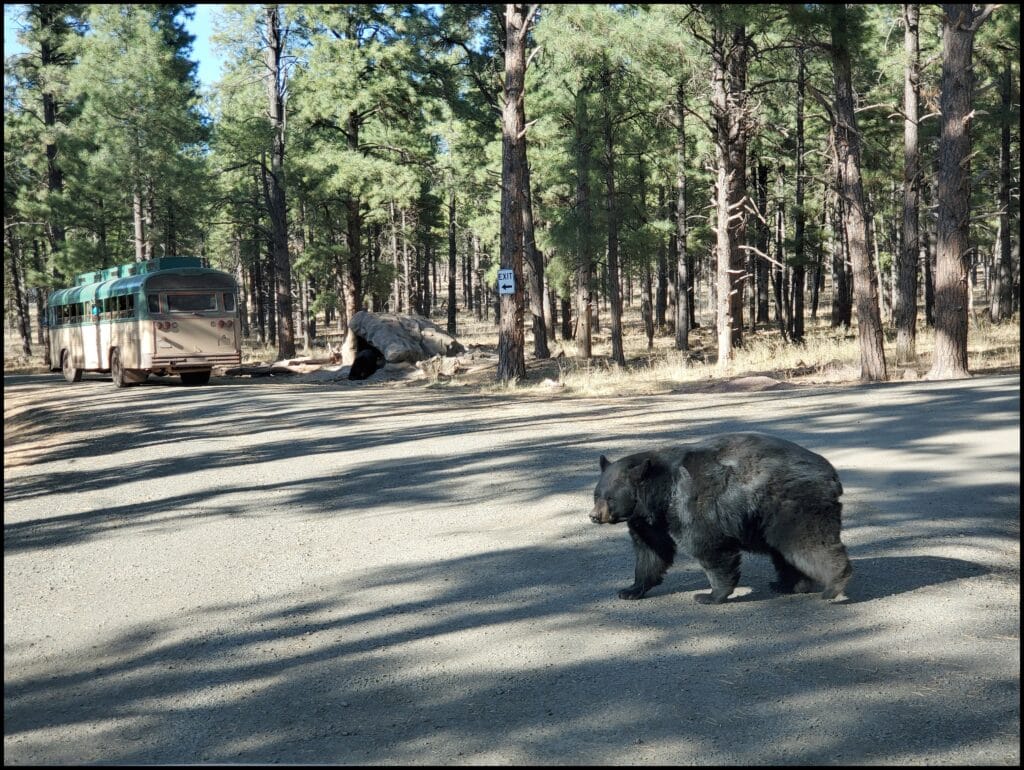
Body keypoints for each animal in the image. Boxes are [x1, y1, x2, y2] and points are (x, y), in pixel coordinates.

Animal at [589, 434, 851, 602]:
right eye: (596, 495)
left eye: (610, 498)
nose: (593, 516)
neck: (660, 494)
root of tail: (831, 475)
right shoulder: (648, 522)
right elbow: (652, 552)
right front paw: (630, 590)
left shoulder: (690, 505)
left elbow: (707, 547)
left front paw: (711, 595)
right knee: (786, 553)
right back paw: (789, 585)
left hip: (793, 504)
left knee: (809, 543)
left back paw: (833, 586)